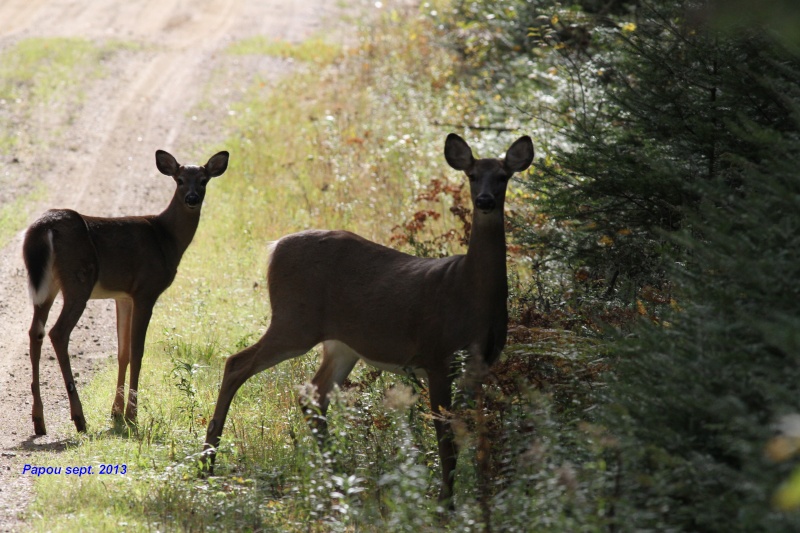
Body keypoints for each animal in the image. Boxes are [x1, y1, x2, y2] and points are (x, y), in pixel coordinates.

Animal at [22, 149, 228, 432]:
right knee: (58, 332)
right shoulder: (146, 290)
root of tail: (45, 227)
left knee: (36, 331)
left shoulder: (123, 296)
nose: (192, 198)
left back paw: (38, 420)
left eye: (204, 180)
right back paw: (79, 418)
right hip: (78, 279)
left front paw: (116, 412)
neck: (167, 239)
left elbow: (123, 352)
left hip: (48, 285)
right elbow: (138, 352)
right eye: (179, 180)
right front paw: (132, 414)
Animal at [203, 133, 536, 502]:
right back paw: (208, 462)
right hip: (294, 321)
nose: (485, 200)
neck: (471, 295)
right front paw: (445, 501)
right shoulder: (437, 355)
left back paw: (339, 478)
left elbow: (473, 433)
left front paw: (478, 495)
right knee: (237, 363)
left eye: (503, 176)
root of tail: (275, 247)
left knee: (313, 394)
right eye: (473, 175)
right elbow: (445, 437)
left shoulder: (480, 365)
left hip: (340, 344)